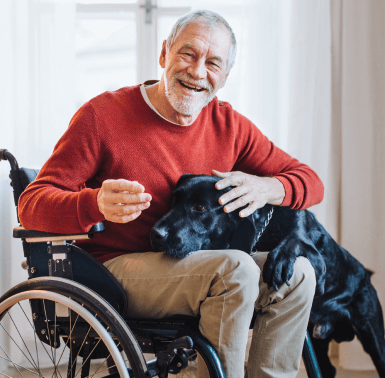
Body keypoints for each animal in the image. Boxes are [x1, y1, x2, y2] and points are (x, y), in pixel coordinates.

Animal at [150, 174, 384, 378]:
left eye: (199, 208)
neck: (264, 229)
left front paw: (279, 260)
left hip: (373, 335)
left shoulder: (318, 264)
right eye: (173, 201)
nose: (155, 234)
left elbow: (293, 241)